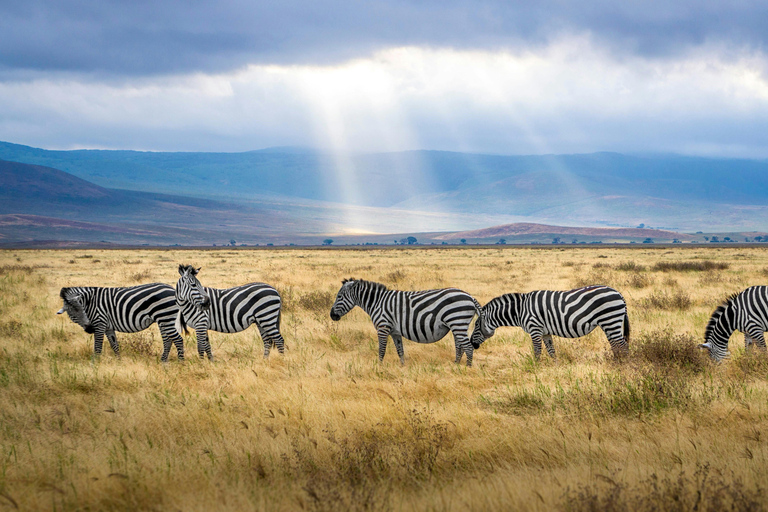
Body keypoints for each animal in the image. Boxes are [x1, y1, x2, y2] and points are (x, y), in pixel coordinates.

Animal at [56, 284, 185, 360]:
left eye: (82, 310)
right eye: (72, 313)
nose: (89, 328)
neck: (90, 302)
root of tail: (173, 289)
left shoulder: (99, 322)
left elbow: (97, 347)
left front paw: (94, 365)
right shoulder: (108, 327)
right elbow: (114, 345)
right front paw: (118, 361)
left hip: (166, 318)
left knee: (178, 340)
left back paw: (181, 363)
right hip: (163, 320)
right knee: (168, 341)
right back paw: (163, 362)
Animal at [328, 278, 484, 366]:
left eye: (339, 296)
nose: (332, 316)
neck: (377, 302)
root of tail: (470, 297)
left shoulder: (383, 327)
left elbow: (382, 350)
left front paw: (379, 367)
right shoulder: (395, 332)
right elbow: (400, 350)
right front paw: (402, 367)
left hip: (457, 321)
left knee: (468, 347)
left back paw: (467, 368)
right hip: (457, 325)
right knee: (460, 346)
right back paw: (455, 366)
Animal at [474, 284, 632, 360]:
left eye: (476, 325)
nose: (473, 344)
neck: (520, 310)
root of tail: (619, 294)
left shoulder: (535, 328)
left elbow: (537, 351)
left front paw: (536, 368)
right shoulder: (545, 332)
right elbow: (551, 351)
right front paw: (555, 367)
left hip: (610, 320)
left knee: (622, 346)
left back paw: (623, 366)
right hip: (610, 323)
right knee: (616, 345)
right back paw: (616, 363)